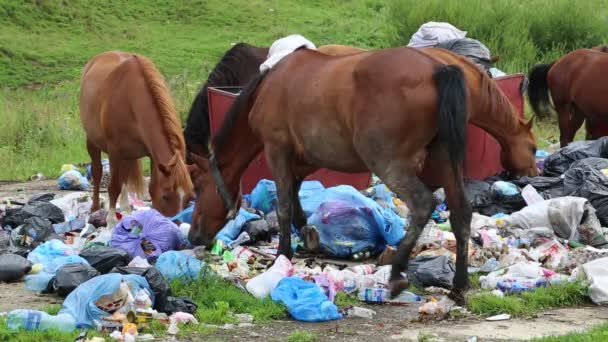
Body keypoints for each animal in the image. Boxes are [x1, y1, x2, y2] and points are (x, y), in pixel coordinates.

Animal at [79, 50, 192, 226]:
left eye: (188, 197)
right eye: (166, 196)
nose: (177, 224)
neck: (132, 98)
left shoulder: (152, 156)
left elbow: (142, 184)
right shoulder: (114, 152)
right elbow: (113, 186)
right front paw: (111, 221)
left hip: (127, 153)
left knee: (124, 177)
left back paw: (125, 206)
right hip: (92, 141)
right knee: (97, 172)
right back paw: (95, 207)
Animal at [186, 46, 536, 304]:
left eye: (199, 187)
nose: (194, 237)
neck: (271, 84)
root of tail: (439, 70)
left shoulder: (277, 150)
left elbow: (284, 205)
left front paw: (283, 255)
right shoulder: (308, 156)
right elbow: (297, 197)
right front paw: (308, 237)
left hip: (389, 161)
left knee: (423, 204)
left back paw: (397, 273)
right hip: (443, 158)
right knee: (460, 212)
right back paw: (459, 284)